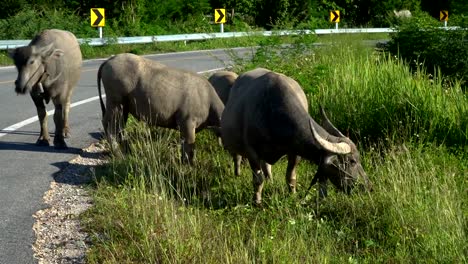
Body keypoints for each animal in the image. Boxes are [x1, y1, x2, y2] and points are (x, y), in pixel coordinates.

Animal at [97, 52, 225, 164]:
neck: (208, 101)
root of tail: (110, 59)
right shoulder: (187, 123)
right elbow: (188, 149)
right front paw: (189, 165)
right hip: (115, 103)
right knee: (110, 127)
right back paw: (118, 154)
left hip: (124, 108)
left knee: (119, 127)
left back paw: (126, 150)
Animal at [221, 68, 372, 204]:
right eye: (352, 161)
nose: (368, 187)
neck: (272, 113)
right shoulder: (252, 153)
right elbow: (258, 180)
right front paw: (257, 201)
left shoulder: (295, 151)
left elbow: (291, 177)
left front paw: (292, 195)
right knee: (238, 158)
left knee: (267, 166)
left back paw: (270, 180)